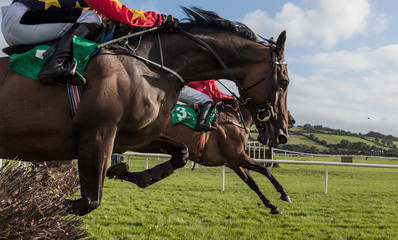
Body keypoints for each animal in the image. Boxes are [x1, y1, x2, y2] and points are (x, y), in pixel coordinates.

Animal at [0, 7, 290, 215]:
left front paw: (136, 174)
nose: (282, 134)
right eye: (285, 82)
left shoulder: (134, 137)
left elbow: (182, 154)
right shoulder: (97, 134)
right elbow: (88, 201)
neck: (149, 66)